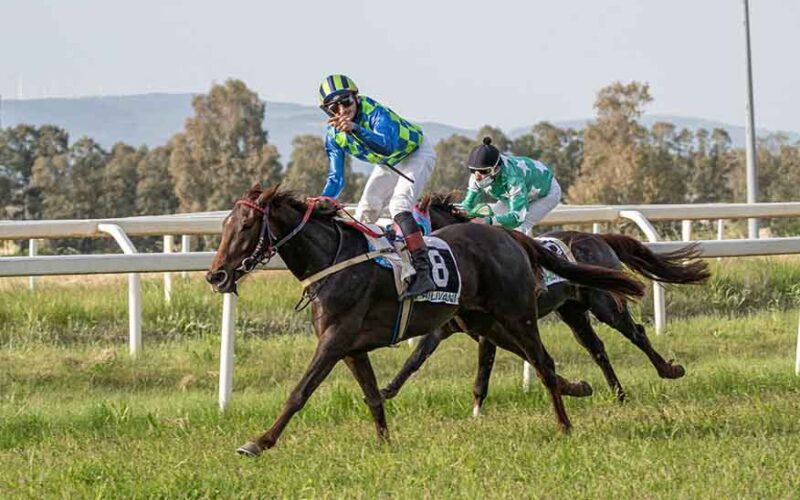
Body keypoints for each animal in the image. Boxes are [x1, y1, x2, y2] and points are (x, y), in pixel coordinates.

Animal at [206, 185, 644, 458]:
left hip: (519, 314)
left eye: (247, 226)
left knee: (547, 361)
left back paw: (565, 424)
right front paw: (385, 443)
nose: (215, 276)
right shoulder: (352, 347)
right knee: (547, 358)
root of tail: (510, 237)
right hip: (484, 319)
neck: (335, 260)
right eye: (223, 226)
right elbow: (373, 396)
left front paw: (258, 442)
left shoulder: (335, 340)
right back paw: (581, 389)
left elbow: (300, 392)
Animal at [382, 193, 712, 412]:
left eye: (409, 223)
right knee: (597, 348)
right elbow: (416, 359)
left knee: (636, 333)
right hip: (573, 312)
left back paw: (668, 370)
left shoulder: (492, 329)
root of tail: (600, 239)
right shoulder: (450, 327)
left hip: (605, 304)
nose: (392, 243)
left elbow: (486, 368)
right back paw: (618, 393)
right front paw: (387, 391)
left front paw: (477, 409)